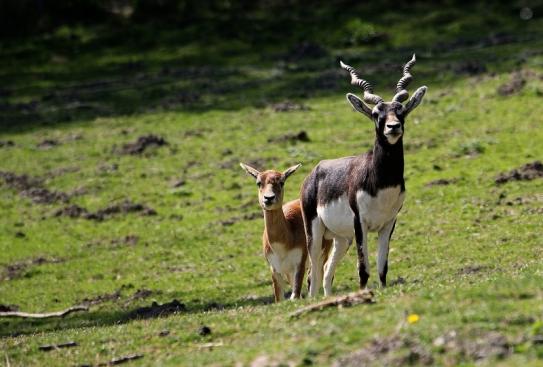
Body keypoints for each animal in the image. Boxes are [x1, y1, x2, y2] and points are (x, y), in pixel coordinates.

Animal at [241, 164, 334, 302]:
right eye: (259, 183)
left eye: (281, 182)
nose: (268, 198)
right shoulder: (275, 269)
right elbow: (280, 298)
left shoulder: (299, 264)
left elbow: (295, 295)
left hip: (322, 253)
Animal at [300, 54, 428, 298]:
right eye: (376, 114)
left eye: (400, 110)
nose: (393, 127)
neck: (382, 183)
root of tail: (315, 172)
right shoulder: (360, 224)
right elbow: (363, 268)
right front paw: (363, 293)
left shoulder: (388, 224)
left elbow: (382, 267)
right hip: (315, 231)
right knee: (313, 274)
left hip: (342, 238)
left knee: (326, 273)